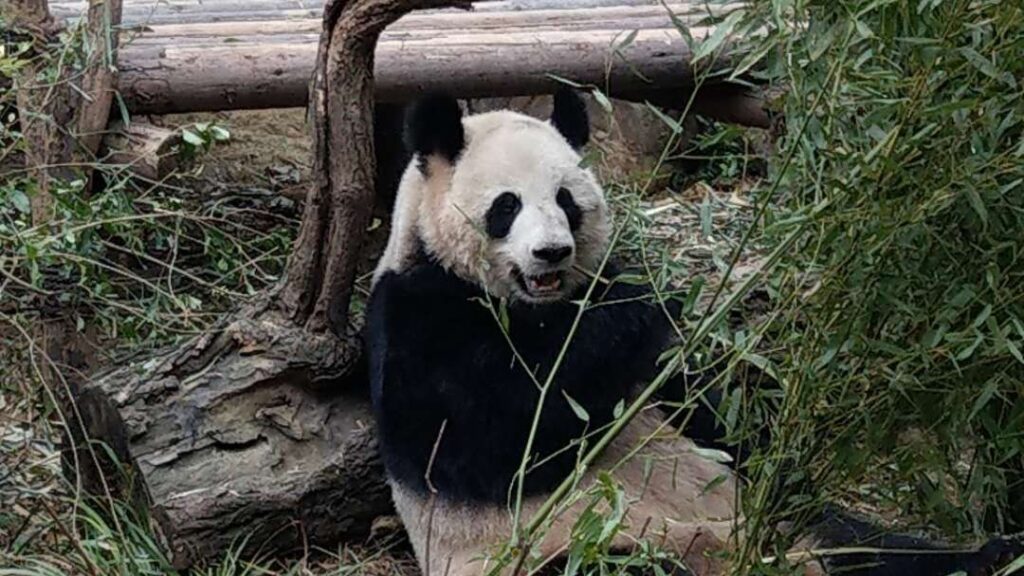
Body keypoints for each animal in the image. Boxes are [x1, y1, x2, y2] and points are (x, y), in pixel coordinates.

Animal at [364, 89, 1021, 576]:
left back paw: (992, 553)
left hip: (777, 520)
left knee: (860, 543)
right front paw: (644, 307)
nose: (552, 253)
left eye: (566, 201)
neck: (532, 309)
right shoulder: (418, 317)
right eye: (506, 206)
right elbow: (491, 438)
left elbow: (711, 409)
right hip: (582, 547)